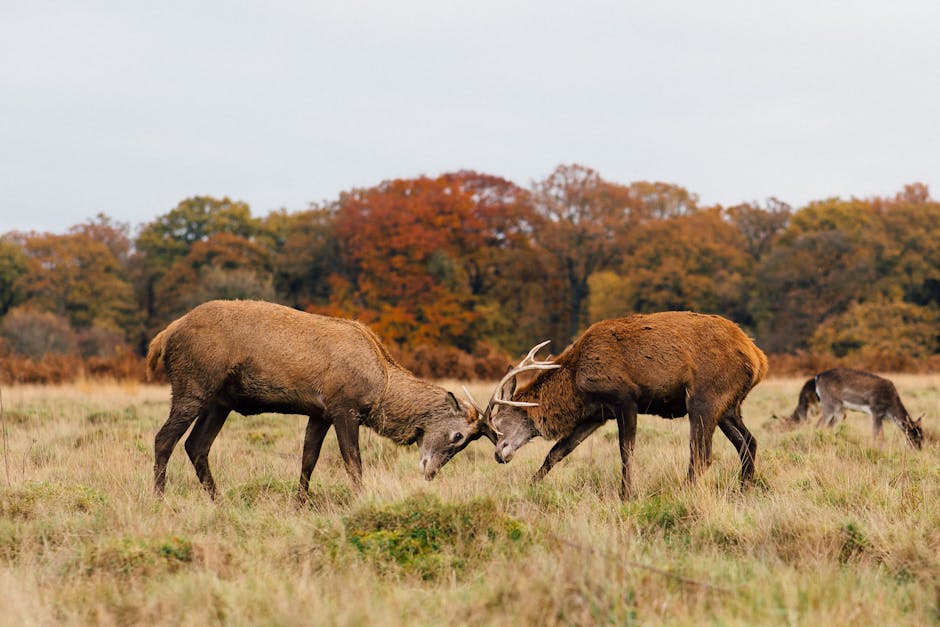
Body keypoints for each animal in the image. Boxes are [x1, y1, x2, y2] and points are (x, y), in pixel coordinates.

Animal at [145, 302, 492, 502]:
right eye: (458, 436)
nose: (430, 472)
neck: (381, 386)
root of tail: (164, 336)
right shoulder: (344, 406)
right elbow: (353, 460)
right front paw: (361, 499)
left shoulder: (320, 413)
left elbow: (308, 459)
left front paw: (300, 503)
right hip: (193, 385)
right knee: (164, 438)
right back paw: (159, 499)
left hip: (220, 401)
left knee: (196, 445)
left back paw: (219, 500)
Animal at [466, 312, 768, 500]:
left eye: (498, 424)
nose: (499, 454)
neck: (575, 382)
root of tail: (758, 359)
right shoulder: (596, 414)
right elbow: (557, 452)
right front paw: (530, 485)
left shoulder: (624, 397)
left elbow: (626, 451)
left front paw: (626, 495)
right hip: (729, 406)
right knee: (748, 442)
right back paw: (744, 490)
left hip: (704, 397)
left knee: (702, 454)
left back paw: (683, 492)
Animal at [784, 368, 924, 452]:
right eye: (912, 435)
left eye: (922, 435)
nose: (919, 449)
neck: (890, 408)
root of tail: (816, 378)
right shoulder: (875, 412)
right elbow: (878, 435)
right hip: (829, 405)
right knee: (819, 425)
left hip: (840, 410)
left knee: (829, 427)